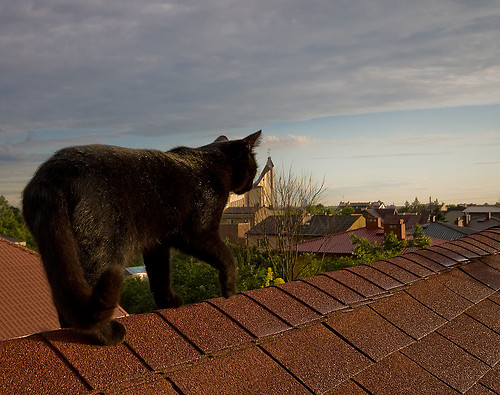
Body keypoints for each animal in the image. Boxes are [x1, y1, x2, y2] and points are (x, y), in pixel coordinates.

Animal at [22, 131, 262, 344]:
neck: (210, 164)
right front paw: (230, 289)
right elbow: (227, 257)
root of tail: (52, 176)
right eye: (255, 167)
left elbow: (159, 276)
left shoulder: (157, 244)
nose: (252, 184)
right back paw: (108, 334)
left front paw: (167, 302)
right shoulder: (199, 234)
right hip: (101, 251)